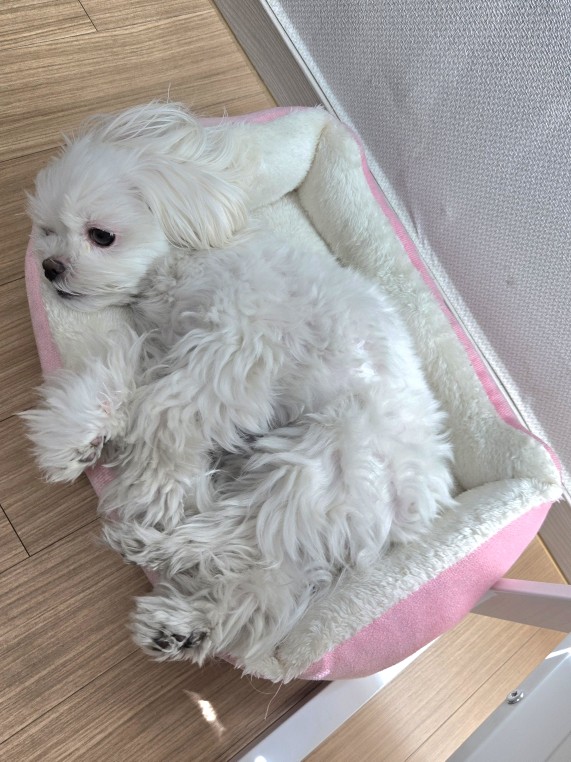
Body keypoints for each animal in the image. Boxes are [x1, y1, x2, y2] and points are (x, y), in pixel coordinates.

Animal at [23, 102, 454, 672]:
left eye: (101, 235)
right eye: (47, 231)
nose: (50, 269)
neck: (189, 260)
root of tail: (412, 511)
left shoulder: (232, 349)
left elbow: (161, 409)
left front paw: (153, 489)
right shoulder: (172, 348)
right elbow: (121, 374)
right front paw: (73, 437)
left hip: (313, 464)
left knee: (243, 541)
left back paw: (157, 543)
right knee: (265, 585)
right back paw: (181, 627)